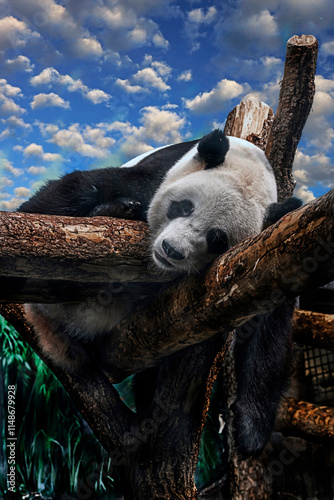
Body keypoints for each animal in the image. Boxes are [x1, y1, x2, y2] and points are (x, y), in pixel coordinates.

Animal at [17, 128, 300, 458]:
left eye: (217, 239)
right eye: (185, 207)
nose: (171, 250)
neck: (253, 164)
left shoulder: (262, 251)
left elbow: (269, 320)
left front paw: (251, 431)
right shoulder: (160, 173)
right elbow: (79, 189)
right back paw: (116, 211)